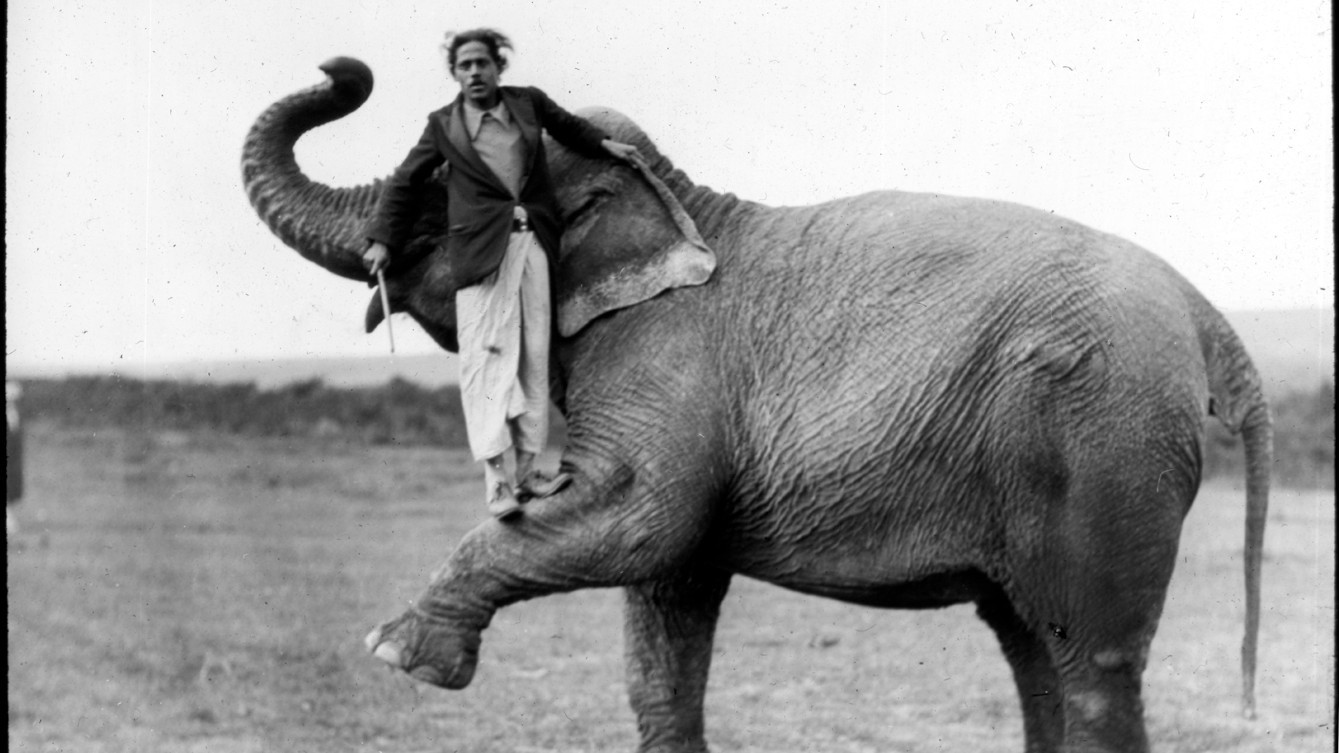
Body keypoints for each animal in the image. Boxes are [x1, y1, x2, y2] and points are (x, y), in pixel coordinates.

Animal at [241, 58, 1272, 753]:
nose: (342, 70)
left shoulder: (665, 357)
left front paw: (396, 653)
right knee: (1032, 650)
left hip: (1104, 439)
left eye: (429, 202)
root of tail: (1203, 313)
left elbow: (641, 521)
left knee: (1090, 665)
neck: (669, 193)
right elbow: (661, 605)